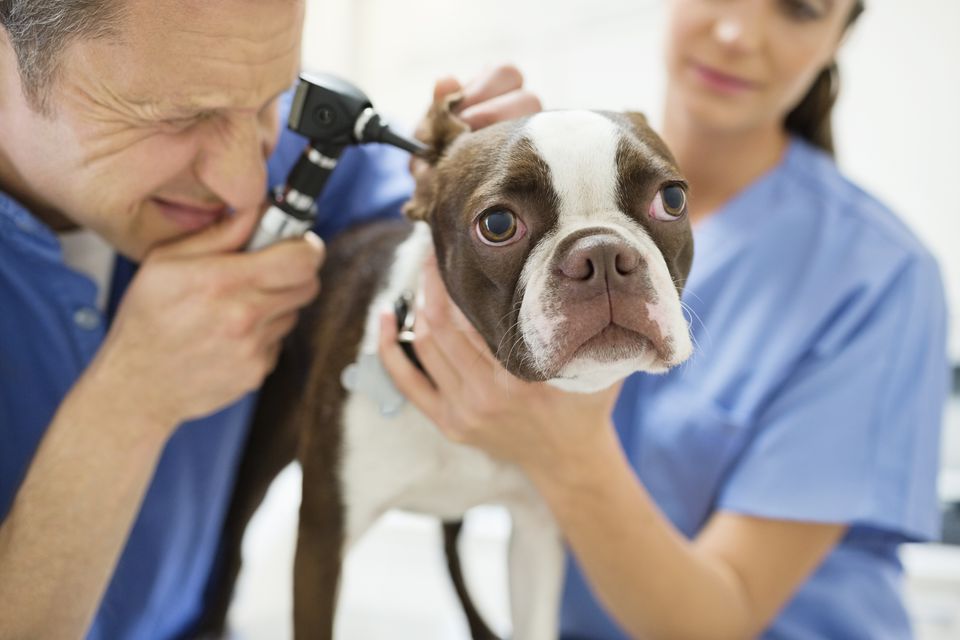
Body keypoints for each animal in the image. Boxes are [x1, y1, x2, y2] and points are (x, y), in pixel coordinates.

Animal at [201, 96, 696, 640]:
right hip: (263, 451)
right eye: (498, 225)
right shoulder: (321, 540)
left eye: (672, 199)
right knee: (232, 543)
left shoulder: (537, 533)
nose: (602, 253)